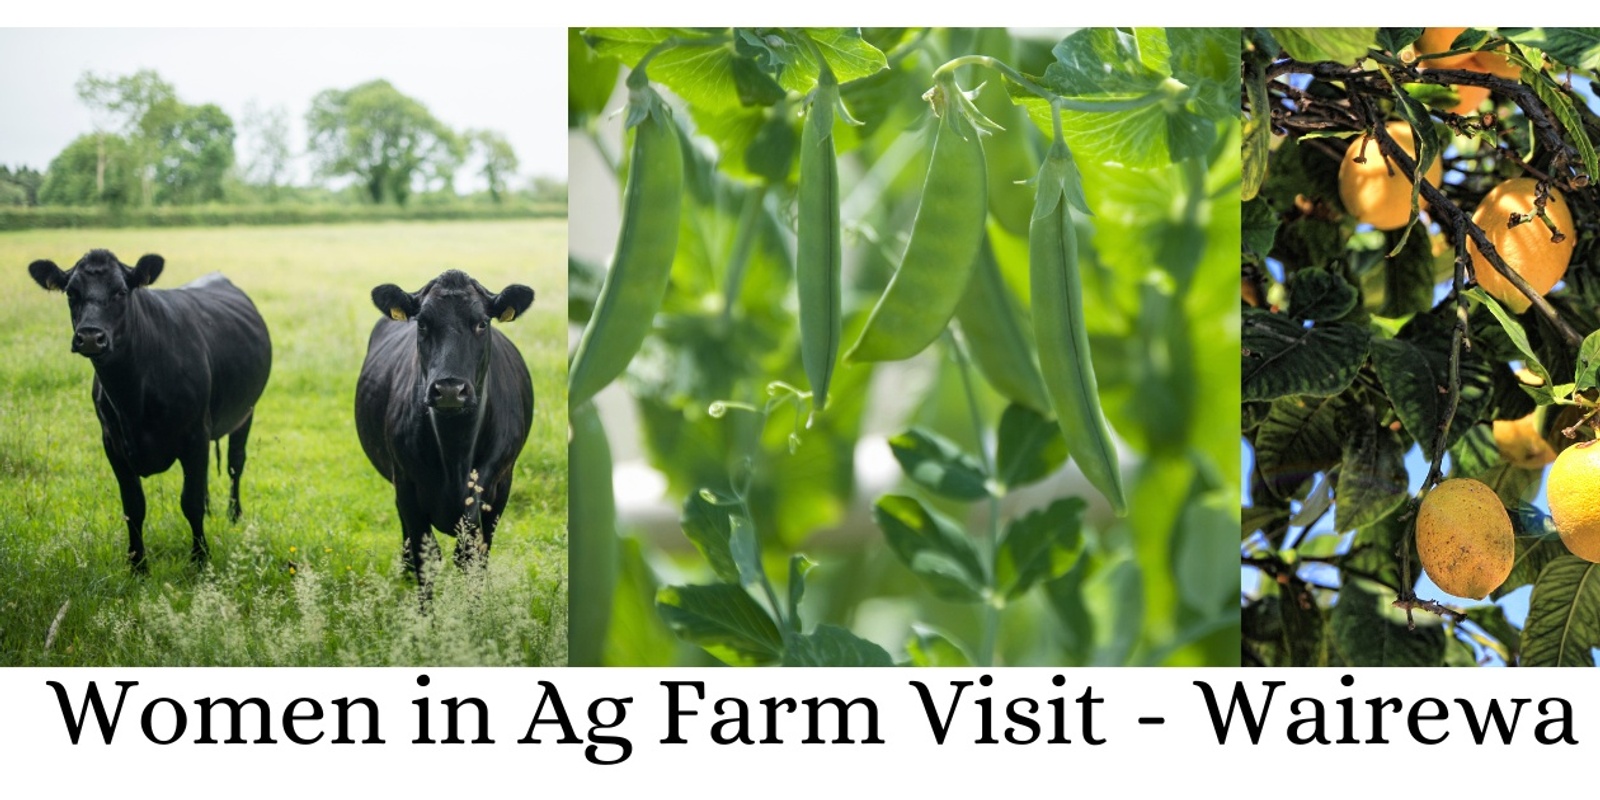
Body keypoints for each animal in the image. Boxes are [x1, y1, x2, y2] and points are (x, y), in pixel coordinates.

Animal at [26, 249, 270, 569]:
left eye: (121, 291)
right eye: (71, 293)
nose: (90, 337)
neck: (134, 398)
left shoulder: (195, 434)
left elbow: (190, 502)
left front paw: (200, 559)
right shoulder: (112, 443)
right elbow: (133, 506)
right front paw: (137, 565)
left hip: (245, 413)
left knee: (234, 464)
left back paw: (234, 515)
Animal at [356, 268, 537, 582]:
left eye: (481, 323)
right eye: (423, 323)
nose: (450, 389)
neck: (456, 450)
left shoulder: (499, 485)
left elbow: (473, 556)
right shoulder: (406, 484)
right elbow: (426, 557)